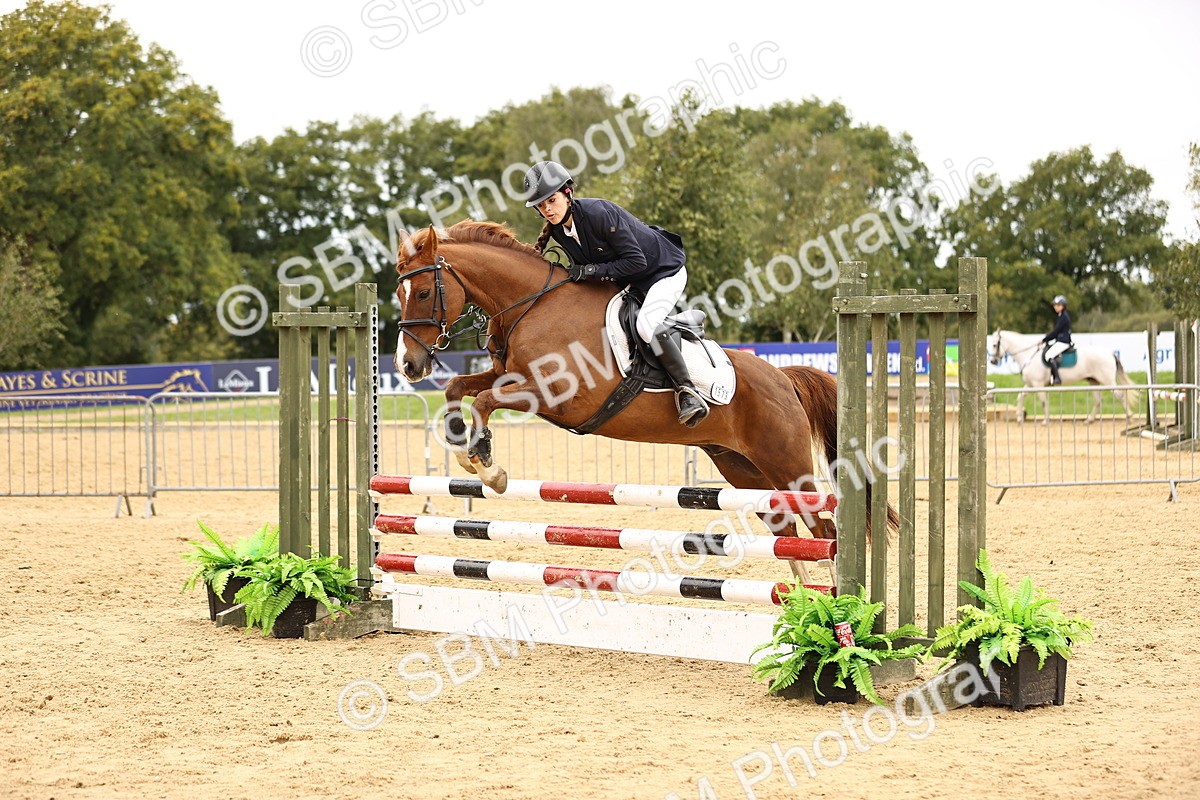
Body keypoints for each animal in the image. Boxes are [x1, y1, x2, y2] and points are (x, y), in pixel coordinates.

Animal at [393, 221, 897, 542]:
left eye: (424, 291)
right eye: (398, 292)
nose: (408, 366)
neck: (534, 304)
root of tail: (784, 378)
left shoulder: (556, 396)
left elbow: (485, 400)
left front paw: (486, 465)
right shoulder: (509, 374)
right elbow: (460, 388)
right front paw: (461, 442)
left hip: (787, 464)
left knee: (823, 530)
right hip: (741, 466)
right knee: (787, 531)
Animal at [987, 329, 1138, 424]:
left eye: (994, 345)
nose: (993, 361)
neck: (1029, 355)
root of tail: (1110, 353)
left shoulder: (1038, 384)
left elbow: (1043, 402)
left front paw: (1045, 420)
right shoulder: (1030, 384)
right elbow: (1020, 397)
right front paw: (1019, 418)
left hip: (1107, 380)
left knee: (1120, 395)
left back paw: (1130, 417)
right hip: (1093, 381)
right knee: (1098, 400)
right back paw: (1089, 420)